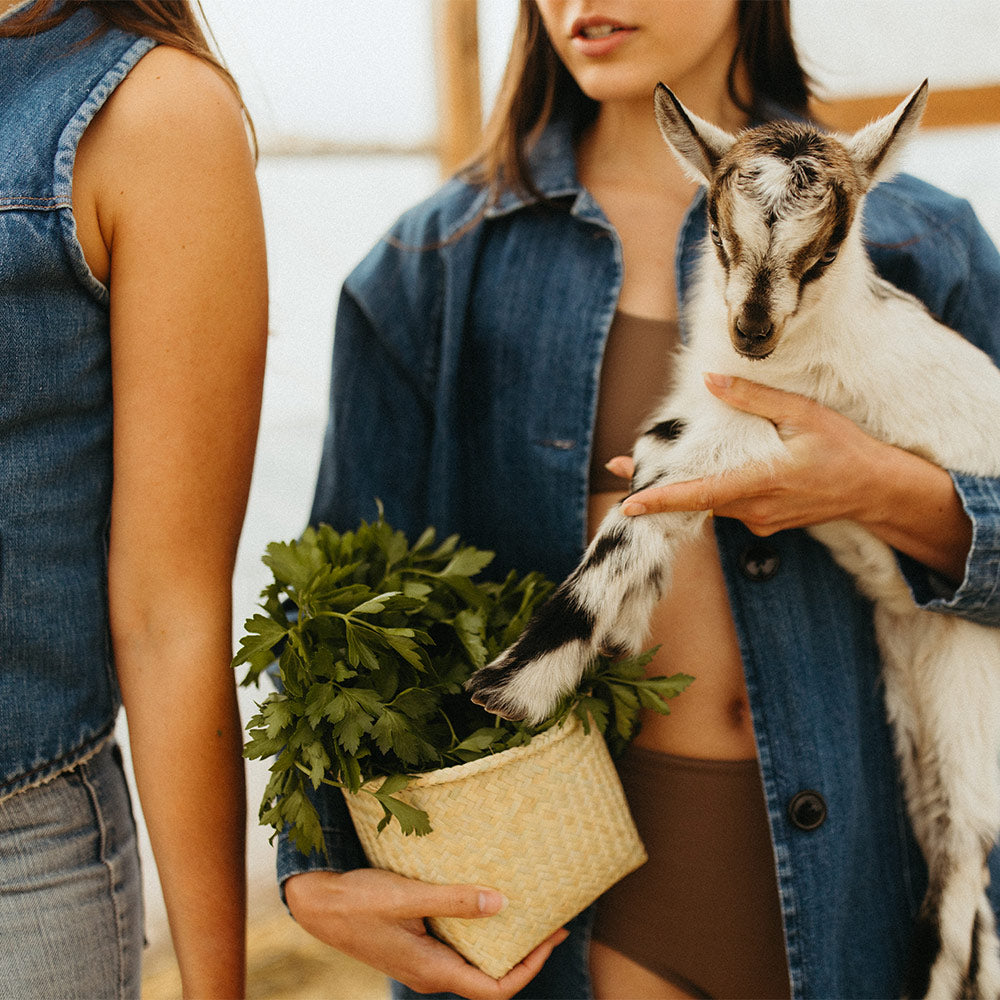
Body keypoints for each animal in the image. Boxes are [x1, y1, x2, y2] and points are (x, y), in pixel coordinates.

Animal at [466, 82, 1000, 996]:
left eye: (825, 249)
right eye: (720, 232)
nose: (752, 331)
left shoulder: (762, 442)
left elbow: (630, 520)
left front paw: (508, 690)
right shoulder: (694, 426)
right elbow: (649, 497)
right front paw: (616, 640)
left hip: (974, 689)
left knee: (966, 870)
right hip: (917, 692)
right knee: (954, 868)